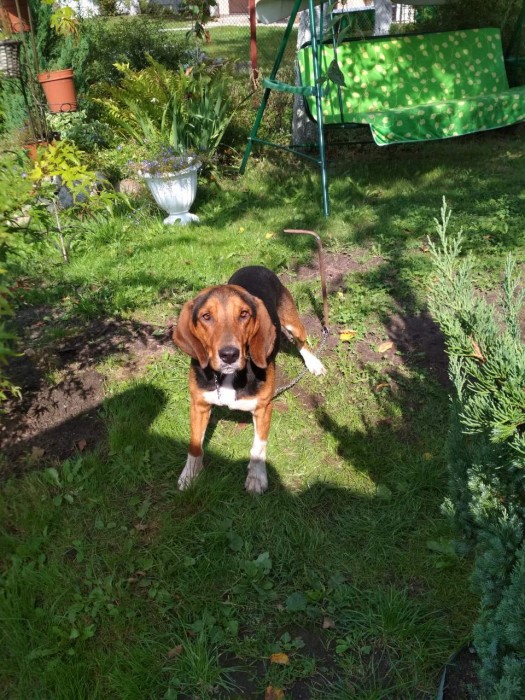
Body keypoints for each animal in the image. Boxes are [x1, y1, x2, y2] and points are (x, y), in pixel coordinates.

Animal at [173, 266, 326, 494]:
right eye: (206, 316)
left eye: (244, 314)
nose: (229, 354)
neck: (228, 376)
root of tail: (256, 266)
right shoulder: (198, 405)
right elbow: (194, 446)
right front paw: (190, 475)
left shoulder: (263, 408)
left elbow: (258, 447)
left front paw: (256, 477)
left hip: (293, 323)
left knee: (302, 342)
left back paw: (314, 363)